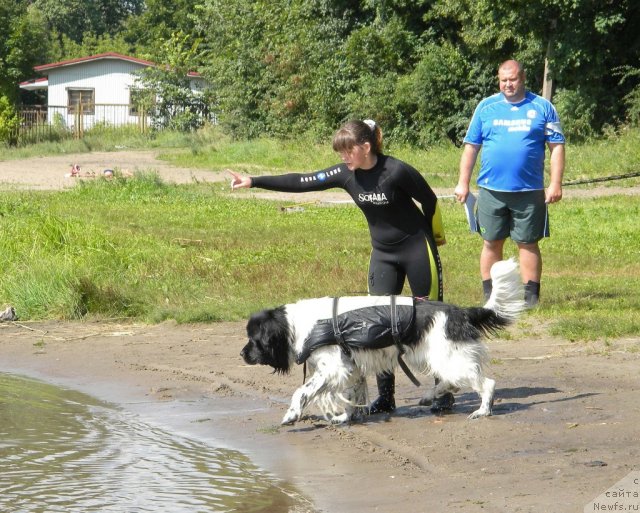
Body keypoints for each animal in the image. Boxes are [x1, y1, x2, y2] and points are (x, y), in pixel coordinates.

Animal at [240, 260, 524, 424]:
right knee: (451, 382)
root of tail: (460, 311)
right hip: (442, 357)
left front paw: (291, 415)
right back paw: (429, 396)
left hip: (448, 356)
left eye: (254, 339)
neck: (297, 325)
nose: (242, 354)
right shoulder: (351, 368)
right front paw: (345, 417)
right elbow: (353, 396)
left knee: (486, 383)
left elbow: (302, 391)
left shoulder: (333, 367)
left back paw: (482, 411)